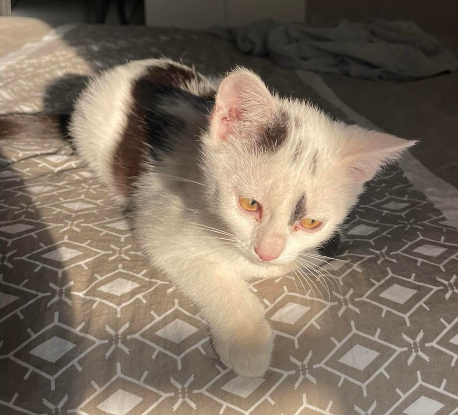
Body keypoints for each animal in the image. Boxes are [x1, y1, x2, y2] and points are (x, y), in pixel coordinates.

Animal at [67, 58, 415, 377]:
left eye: (311, 223)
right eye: (249, 204)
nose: (266, 251)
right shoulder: (158, 218)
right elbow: (207, 270)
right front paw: (248, 342)